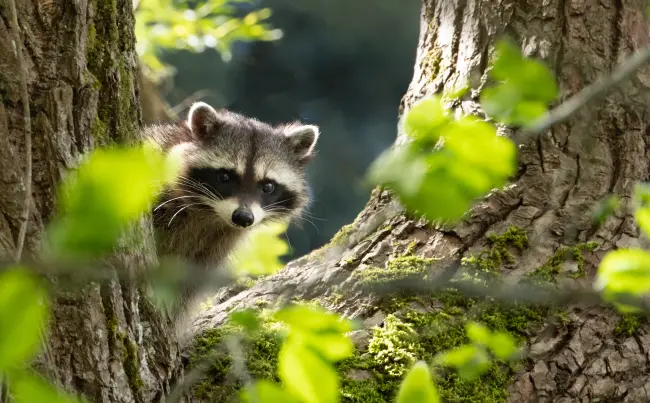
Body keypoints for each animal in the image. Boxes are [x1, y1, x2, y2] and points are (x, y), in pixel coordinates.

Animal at [144, 101, 319, 308]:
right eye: (224, 177)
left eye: (268, 187)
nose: (243, 217)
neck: (209, 215)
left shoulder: (211, 250)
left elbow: (186, 291)